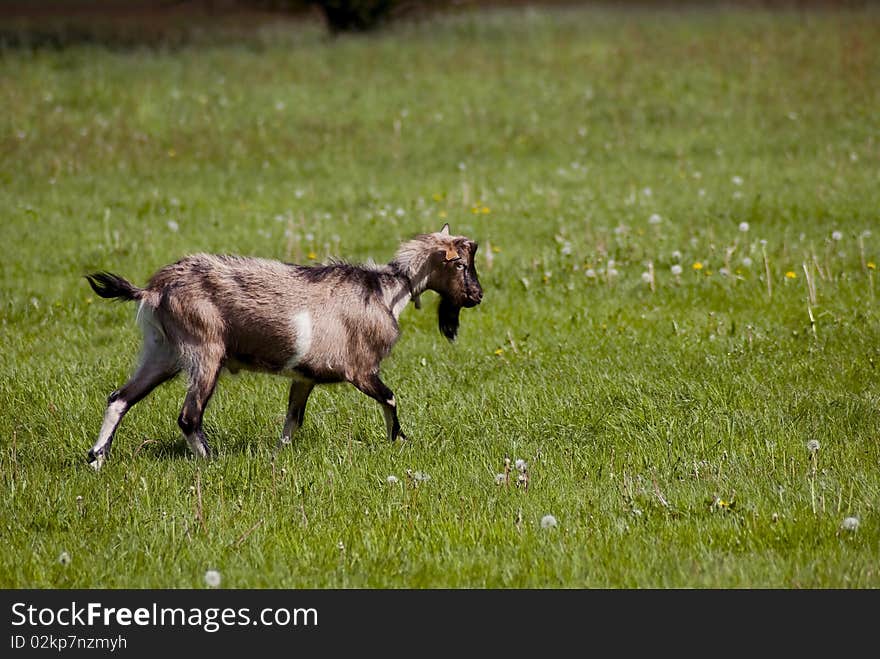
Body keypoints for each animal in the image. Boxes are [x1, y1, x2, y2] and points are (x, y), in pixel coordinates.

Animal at [84, 226, 482, 470]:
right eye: (460, 263)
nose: (477, 296)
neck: (385, 292)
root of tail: (153, 289)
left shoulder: (304, 377)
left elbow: (293, 418)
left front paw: (280, 454)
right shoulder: (361, 370)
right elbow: (390, 397)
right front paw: (398, 441)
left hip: (162, 351)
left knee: (119, 398)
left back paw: (96, 459)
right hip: (204, 350)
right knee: (188, 415)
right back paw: (211, 461)